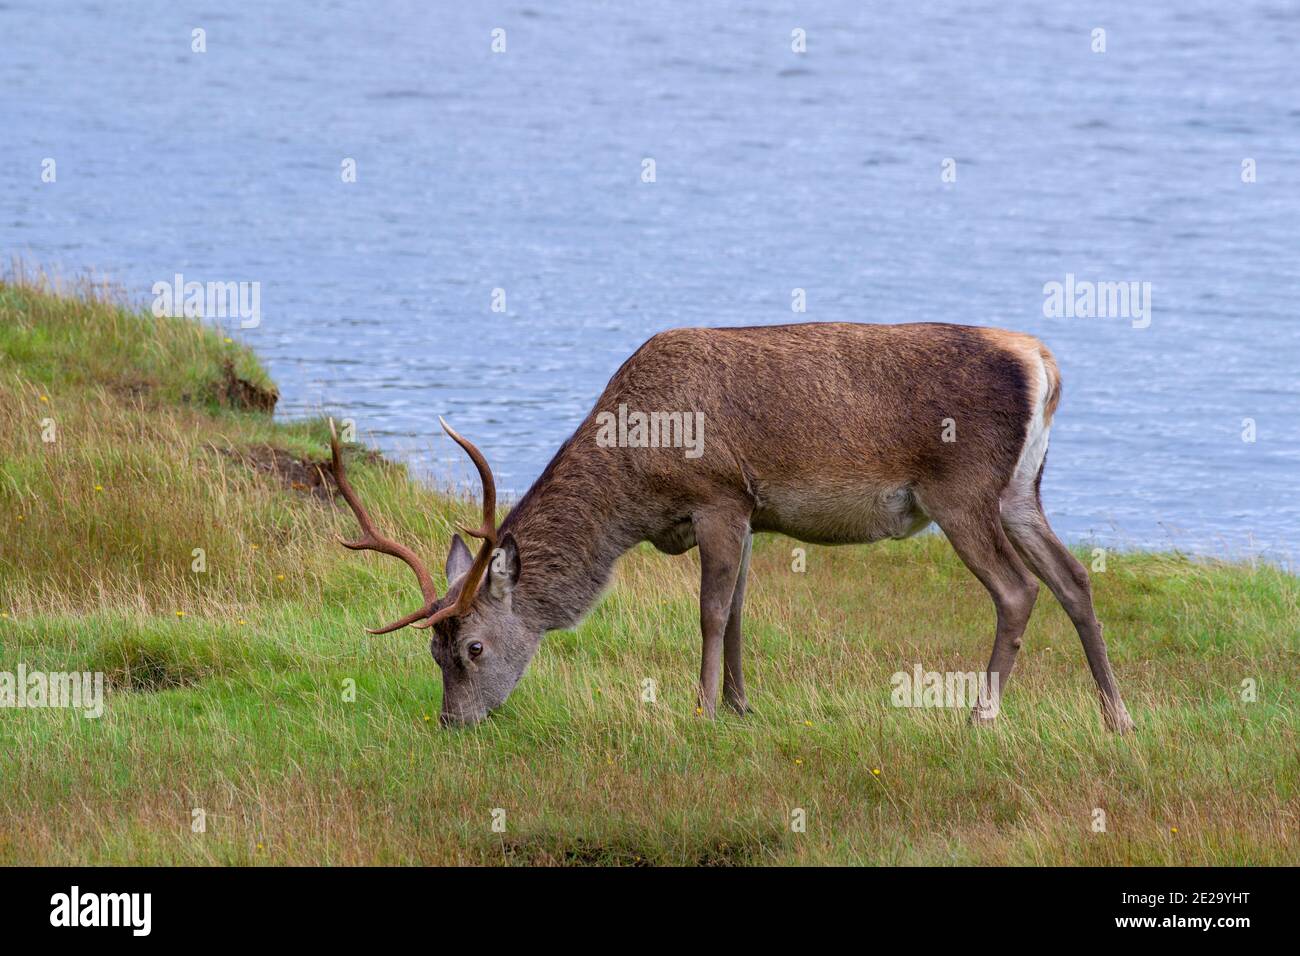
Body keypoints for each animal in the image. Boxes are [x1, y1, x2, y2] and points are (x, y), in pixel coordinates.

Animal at [329, 321, 1134, 732]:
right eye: (431, 652)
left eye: (472, 646)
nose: (452, 722)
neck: (638, 484)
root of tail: (1044, 364)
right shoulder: (750, 512)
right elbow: (743, 606)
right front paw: (745, 704)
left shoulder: (717, 494)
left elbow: (712, 610)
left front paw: (704, 709)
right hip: (1020, 490)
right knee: (1074, 578)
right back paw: (1117, 717)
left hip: (961, 490)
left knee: (1017, 590)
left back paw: (980, 714)